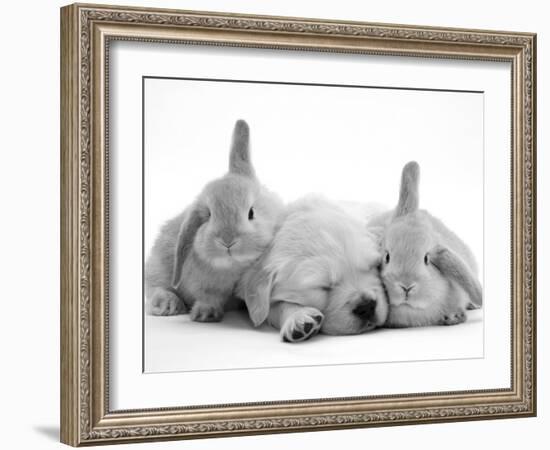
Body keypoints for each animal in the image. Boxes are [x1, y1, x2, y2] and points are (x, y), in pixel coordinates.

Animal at [146, 121, 284, 322]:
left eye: (251, 213)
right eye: (209, 215)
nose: (227, 241)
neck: (233, 268)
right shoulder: (204, 286)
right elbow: (209, 297)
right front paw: (206, 313)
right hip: (158, 267)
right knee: (156, 287)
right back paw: (168, 305)